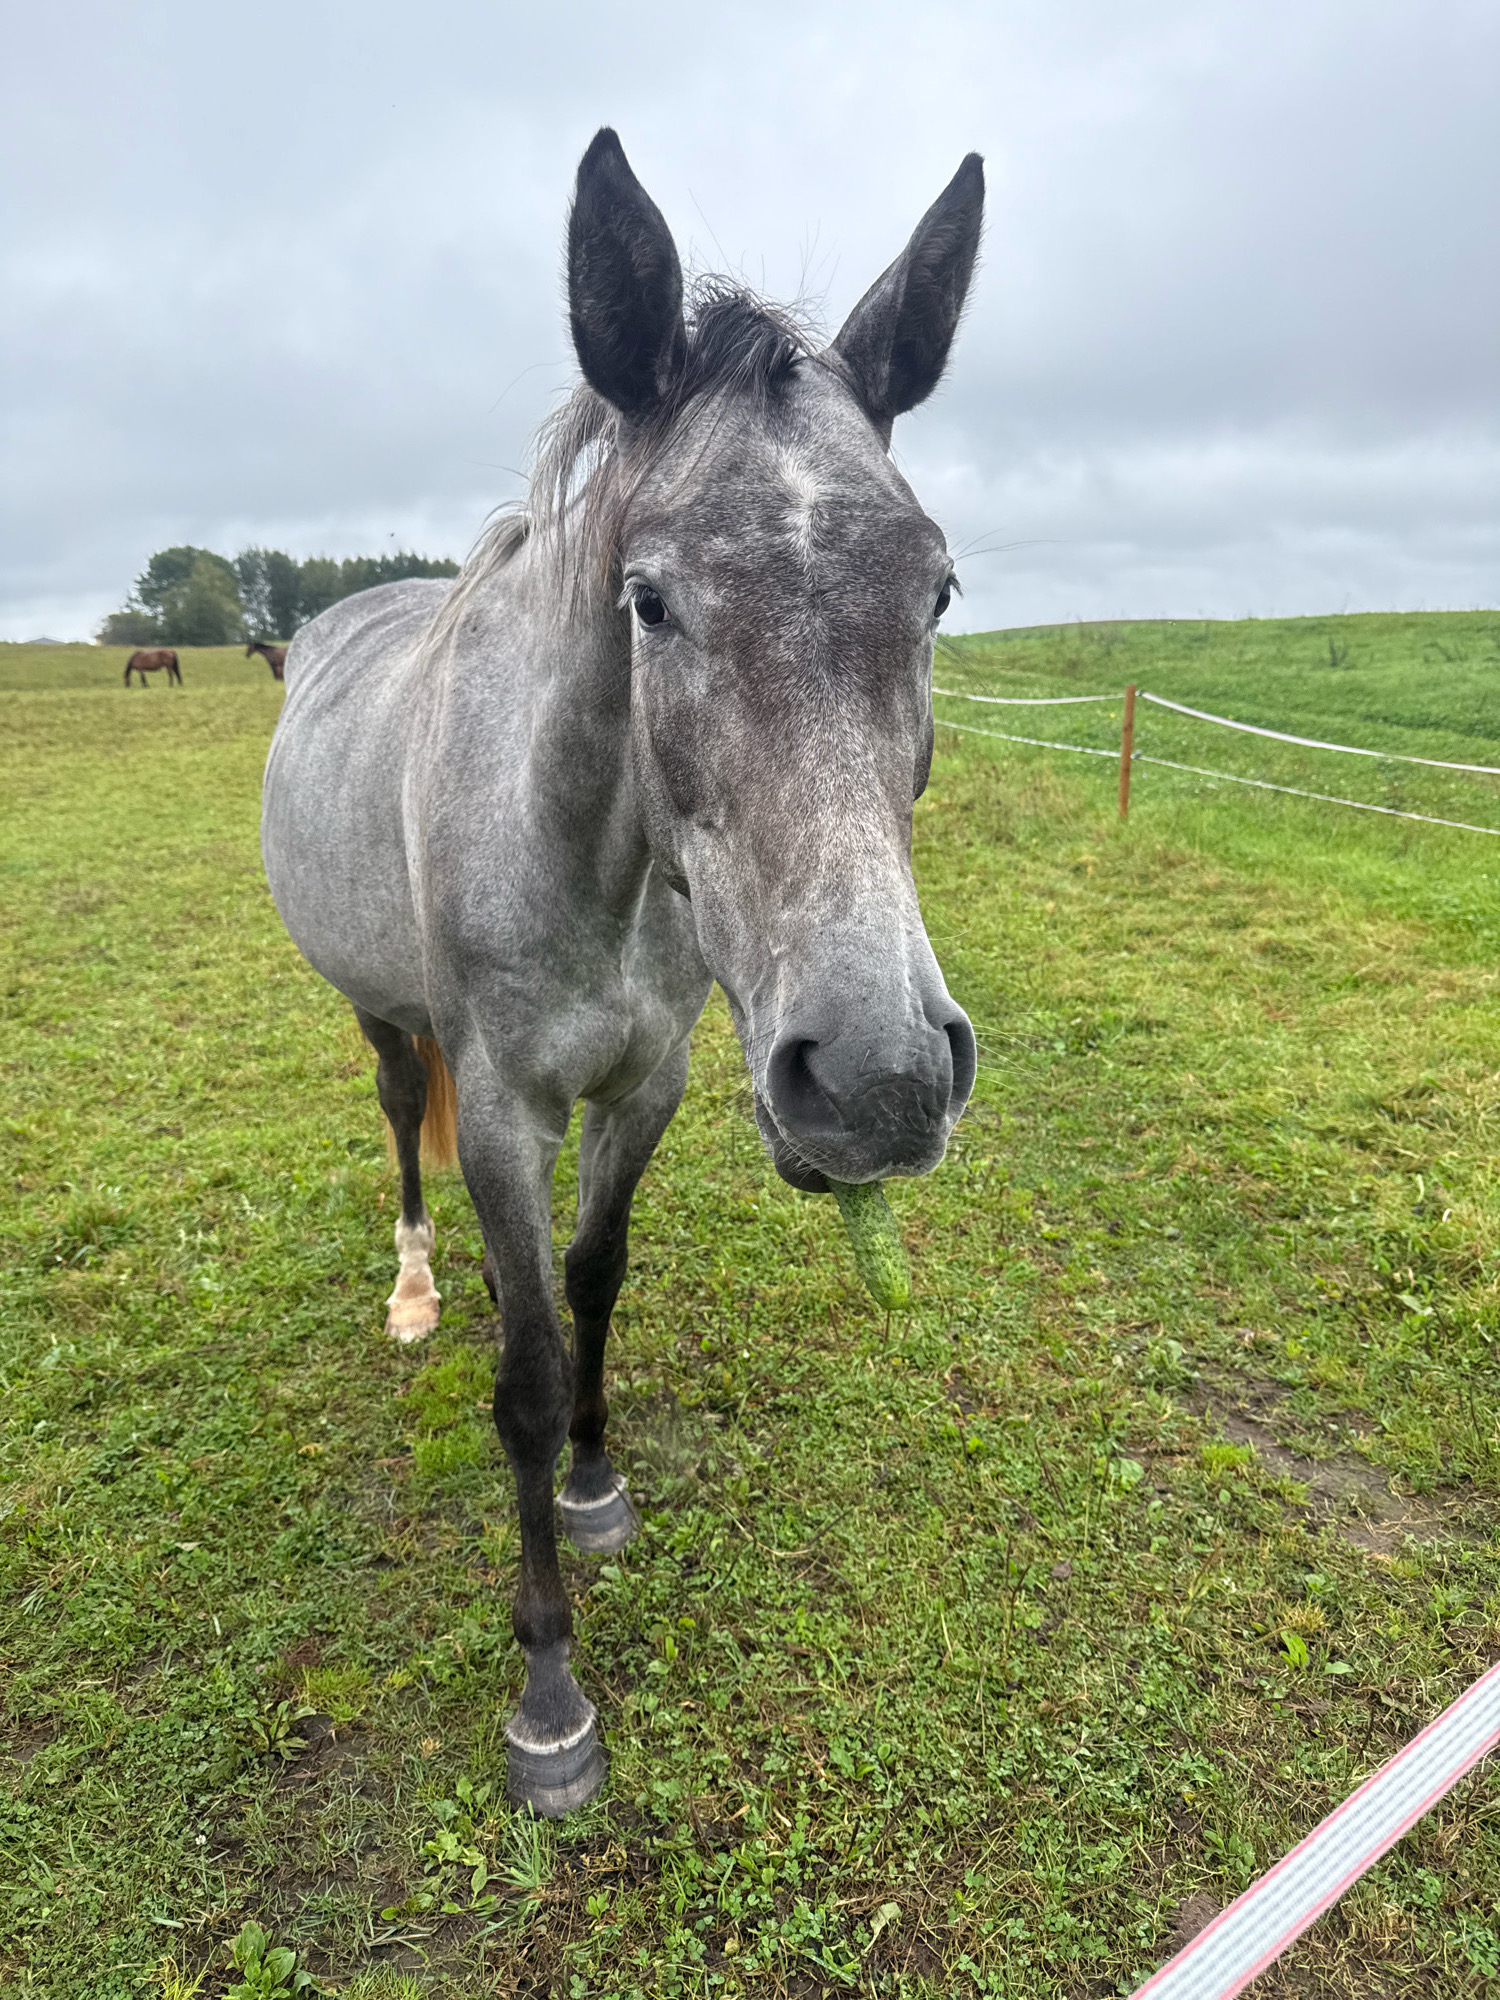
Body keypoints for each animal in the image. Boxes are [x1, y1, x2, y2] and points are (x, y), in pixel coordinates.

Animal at [261, 128, 983, 1816]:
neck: (583, 850)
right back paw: (415, 1288)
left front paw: (594, 1482)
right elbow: (524, 1374)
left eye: (936, 593)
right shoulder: (507, 1112)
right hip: (383, 1017)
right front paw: (548, 1692)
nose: (880, 1081)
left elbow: (596, 1281)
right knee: (398, 1120)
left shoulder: (643, 1083)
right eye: (649, 601)